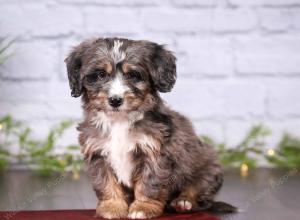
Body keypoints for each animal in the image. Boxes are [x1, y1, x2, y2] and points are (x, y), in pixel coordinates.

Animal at [65, 37, 237, 218]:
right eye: (100, 74)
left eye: (133, 75)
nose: (115, 100)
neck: (120, 121)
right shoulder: (98, 154)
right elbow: (106, 183)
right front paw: (112, 207)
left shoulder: (153, 153)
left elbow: (149, 183)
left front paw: (143, 208)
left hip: (209, 169)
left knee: (199, 193)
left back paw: (183, 202)